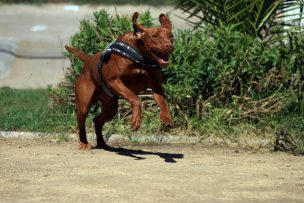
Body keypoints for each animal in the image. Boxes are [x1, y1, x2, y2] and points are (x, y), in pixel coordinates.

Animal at [64, 12, 173, 149]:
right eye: (154, 36)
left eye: (171, 36)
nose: (169, 45)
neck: (140, 55)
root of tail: (88, 60)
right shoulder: (114, 81)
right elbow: (135, 98)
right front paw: (136, 120)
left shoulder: (156, 85)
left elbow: (162, 101)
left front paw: (166, 118)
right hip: (83, 104)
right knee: (81, 122)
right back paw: (84, 143)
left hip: (110, 106)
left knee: (97, 120)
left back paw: (102, 143)